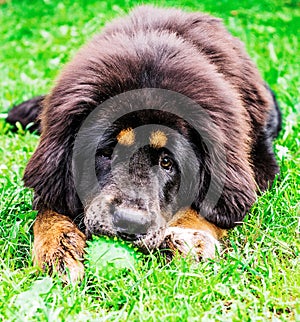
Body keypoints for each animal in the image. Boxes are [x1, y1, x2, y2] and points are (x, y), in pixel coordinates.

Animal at [8, 5, 282, 282]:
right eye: (108, 152)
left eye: (167, 162)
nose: (129, 222)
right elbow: (49, 211)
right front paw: (58, 248)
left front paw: (189, 236)